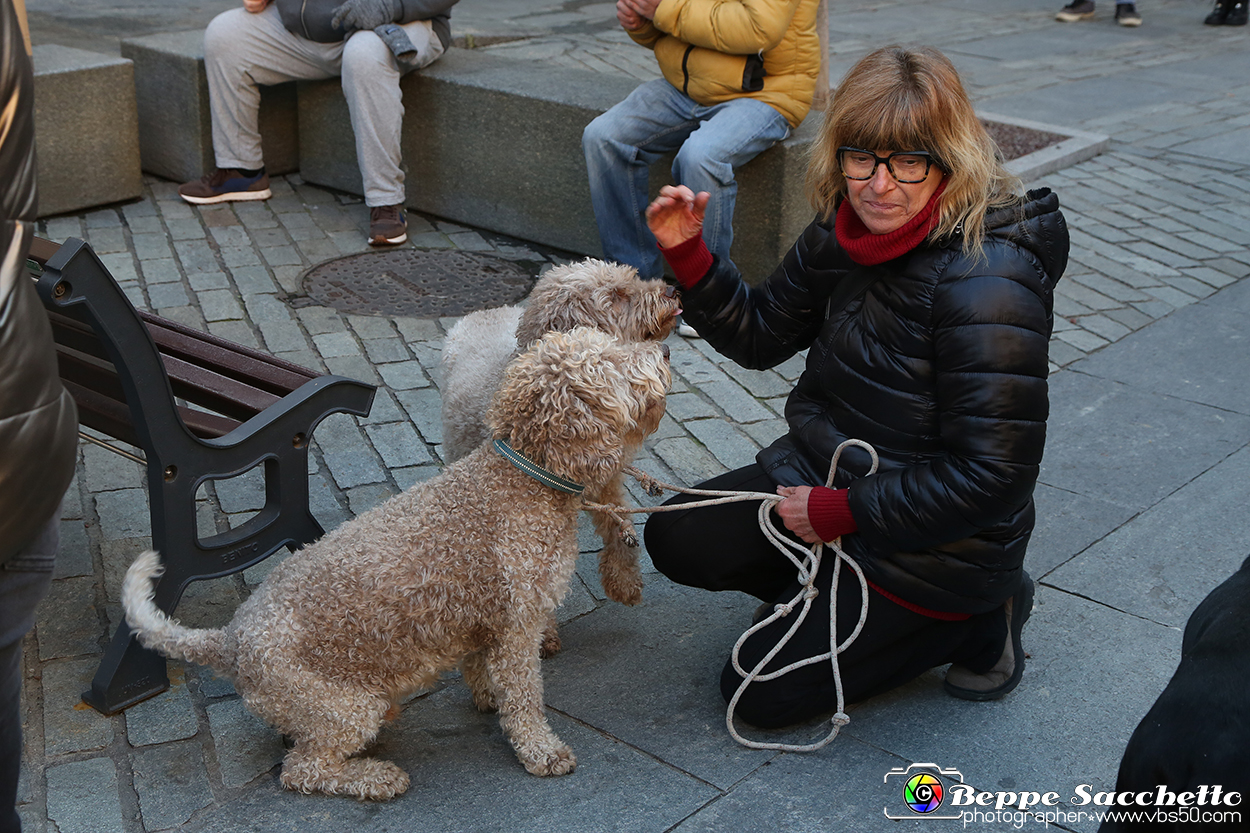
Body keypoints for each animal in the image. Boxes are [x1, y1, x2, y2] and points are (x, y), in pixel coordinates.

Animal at [119, 325, 675, 800]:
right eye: (610, 363)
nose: (667, 352)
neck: (523, 480)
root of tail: (230, 641)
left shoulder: (482, 619)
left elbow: (483, 670)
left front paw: (487, 698)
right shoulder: (518, 626)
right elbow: (524, 697)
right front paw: (541, 751)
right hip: (344, 707)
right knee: (303, 770)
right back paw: (377, 777)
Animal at [442, 257, 685, 630]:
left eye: (630, 278)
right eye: (617, 296)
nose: (672, 290)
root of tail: (488, 309)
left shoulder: (607, 483)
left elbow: (618, 525)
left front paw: (624, 580)